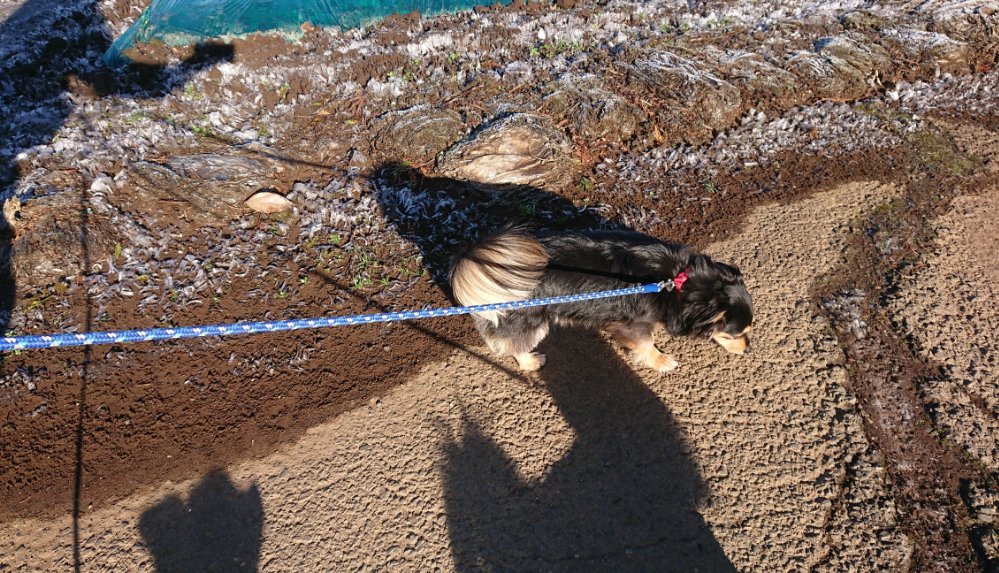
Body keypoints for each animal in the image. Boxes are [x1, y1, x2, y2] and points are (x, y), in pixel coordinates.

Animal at [450, 228, 753, 372]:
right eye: (734, 334)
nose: (749, 349)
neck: (680, 283)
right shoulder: (634, 325)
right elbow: (647, 344)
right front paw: (661, 361)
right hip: (531, 322)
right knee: (515, 344)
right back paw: (531, 362)